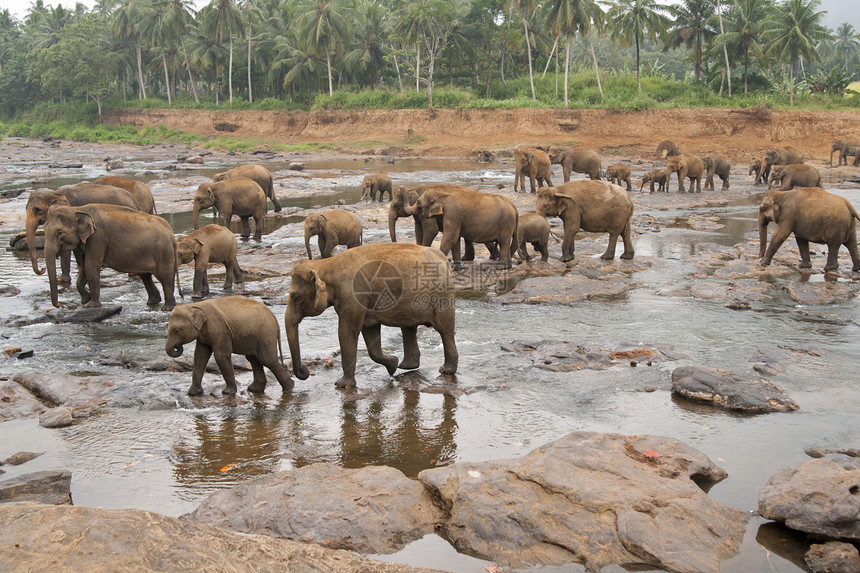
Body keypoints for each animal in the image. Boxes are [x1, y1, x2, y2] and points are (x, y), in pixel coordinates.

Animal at [43, 204, 180, 308]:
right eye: (43, 231)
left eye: (59, 232)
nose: (59, 305)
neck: (77, 209)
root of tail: (171, 233)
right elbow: (84, 268)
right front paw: (85, 300)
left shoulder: (98, 237)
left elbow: (91, 266)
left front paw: (90, 305)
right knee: (145, 276)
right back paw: (152, 302)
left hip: (163, 252)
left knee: (164, 277)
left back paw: (167, 308)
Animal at [165, 294, 296, 394]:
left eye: (176, 330)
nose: (177, 346)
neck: (196, 305)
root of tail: (275, 320)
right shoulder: (203, 334)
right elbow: (200, 356)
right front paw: (192, 393)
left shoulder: (219, 330)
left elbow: (221, 356)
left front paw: (227, 392)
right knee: (253, 358)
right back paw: (254, 389)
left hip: (266, 333)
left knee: (267, 359)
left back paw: (289, 388)